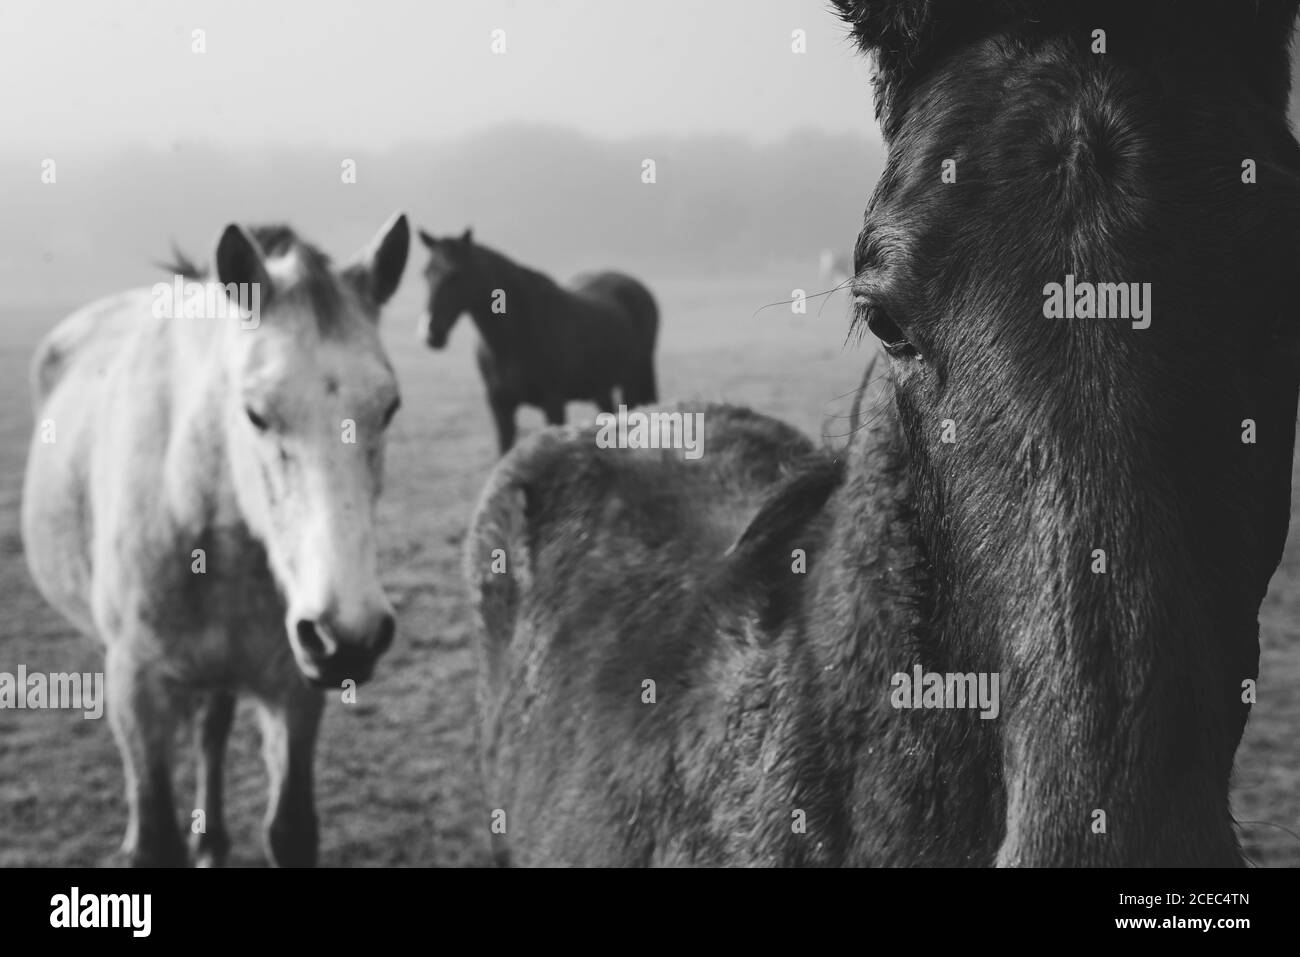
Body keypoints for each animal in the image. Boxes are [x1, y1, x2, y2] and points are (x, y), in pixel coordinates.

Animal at [22, 214, 413, 868]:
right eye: (255, 413)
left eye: (388, 407)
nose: (350, 637)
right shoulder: (138, 691)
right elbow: (155, 837)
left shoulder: (293, 690)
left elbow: (290, 828)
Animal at [416, 231, 660, 455]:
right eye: (426, 273)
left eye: (455, 274)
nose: (430, 332)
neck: (512, 340)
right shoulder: (500, 407)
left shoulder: (553, 403)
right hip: (601, 387)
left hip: (631, 381)